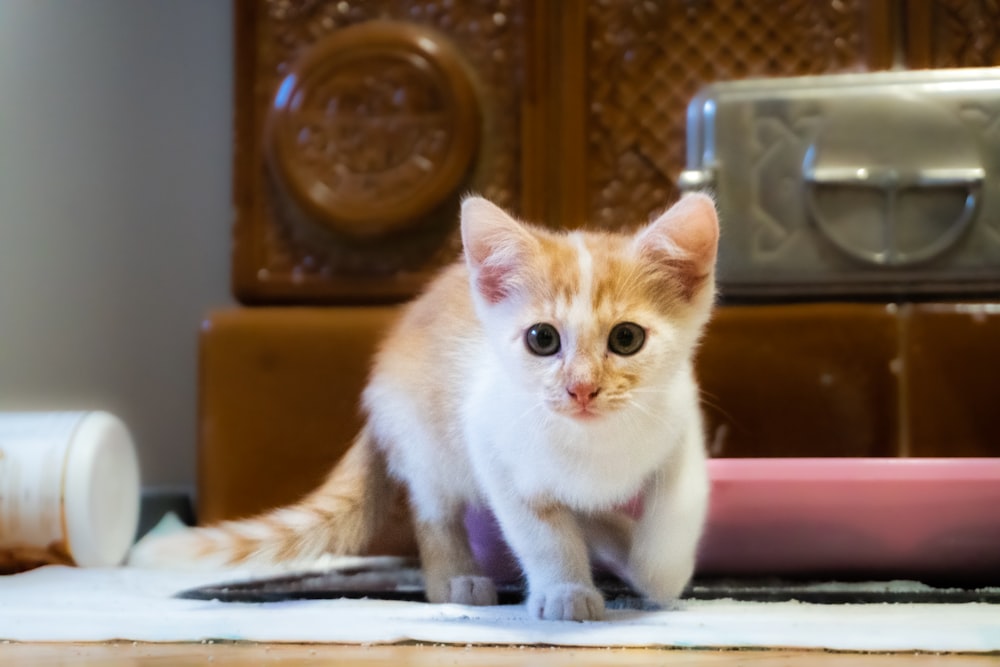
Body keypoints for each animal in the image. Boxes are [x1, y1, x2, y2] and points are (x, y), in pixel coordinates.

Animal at [131, 196, 720, 624]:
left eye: (626, 338)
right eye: (542, 339)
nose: (581, 389)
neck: (595, 445)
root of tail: (379, 389)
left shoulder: (681, 423)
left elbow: (675, 514)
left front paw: (655, 569)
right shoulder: (490, 442)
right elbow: (541, 533)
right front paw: (565, 589)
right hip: (428, 444)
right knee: (433, 510)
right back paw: (455, 579)